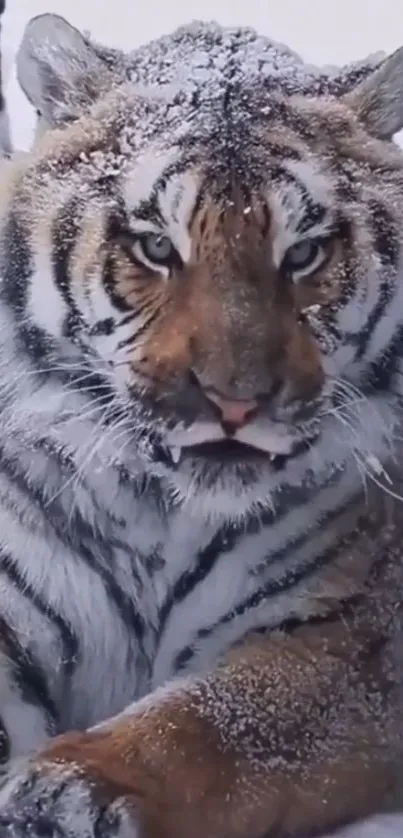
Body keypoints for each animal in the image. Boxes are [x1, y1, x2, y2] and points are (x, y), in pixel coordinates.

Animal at [0, 8, 403, 838]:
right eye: (156, 245)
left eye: (303, 254)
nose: (236, 401)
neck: (153, 510)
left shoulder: (358, 636)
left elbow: (216, 724)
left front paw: (72, 791)